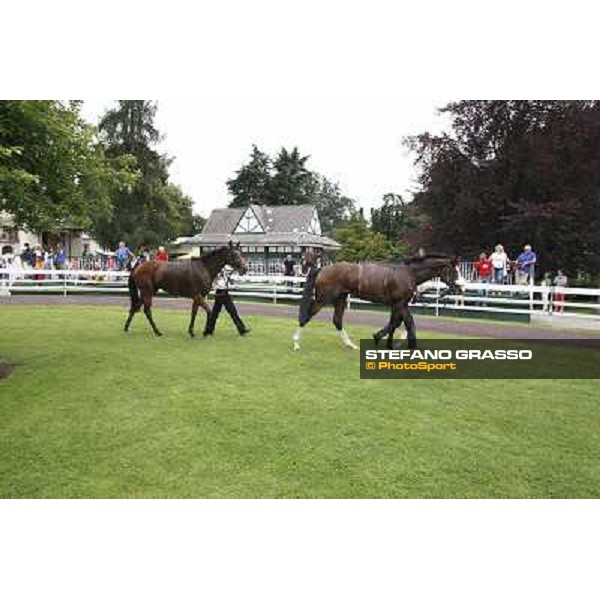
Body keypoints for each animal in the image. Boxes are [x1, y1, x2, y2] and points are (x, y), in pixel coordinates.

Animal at [292, 254, 466, 352]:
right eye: (454, 271)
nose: (462, 286)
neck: (409, 273)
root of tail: (322, 269)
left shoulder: (398, 304)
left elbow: (396, 322)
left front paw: (385, 341)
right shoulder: (400, 303)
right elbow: (408, 323)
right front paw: (410, 345)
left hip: (340, 299)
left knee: (337, 321)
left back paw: (350, 345)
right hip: (323, 299)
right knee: (306, 316)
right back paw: (296, 343)